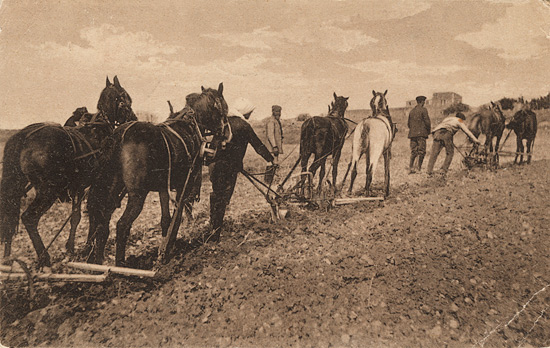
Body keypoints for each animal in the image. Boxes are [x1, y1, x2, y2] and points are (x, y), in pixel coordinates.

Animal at [0, 76, 136, 266]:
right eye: (126, 98)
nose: (134, 117)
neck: (100, 129)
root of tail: (25, 136)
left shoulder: (79, 187)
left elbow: (76, 217)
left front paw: (72, 248)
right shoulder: (96, 184)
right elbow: (94, 211)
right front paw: (89, 247)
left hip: (19, 187)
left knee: (8, 218)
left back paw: (7, 258)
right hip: (48, 190)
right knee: (29, 218)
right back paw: (44, 258)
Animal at [88, 83, 231, 266]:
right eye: (224, 108)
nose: (225, 134)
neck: (190, 126)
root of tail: (121, 135)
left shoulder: (163, 187)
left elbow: (166, 220)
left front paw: (164, 249)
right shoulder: (184, 184)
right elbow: (177, 216)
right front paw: (168, 249)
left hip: (112, 190)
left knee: (102, 225)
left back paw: (98, 264)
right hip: (137, 195)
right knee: (122, 225)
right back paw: (120, 264)